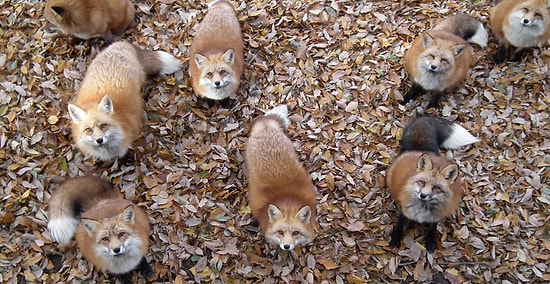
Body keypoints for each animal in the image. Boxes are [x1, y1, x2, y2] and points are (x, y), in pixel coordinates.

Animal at [388, 115, 484, 251]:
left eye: (436, 187)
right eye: (422, 182)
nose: (423, 195)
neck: (422, 210)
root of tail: (420, 150)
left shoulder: (436, 217)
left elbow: (432, 230)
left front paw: (430, 243)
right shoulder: (404, 211)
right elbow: (399, 226)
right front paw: (395, 241)